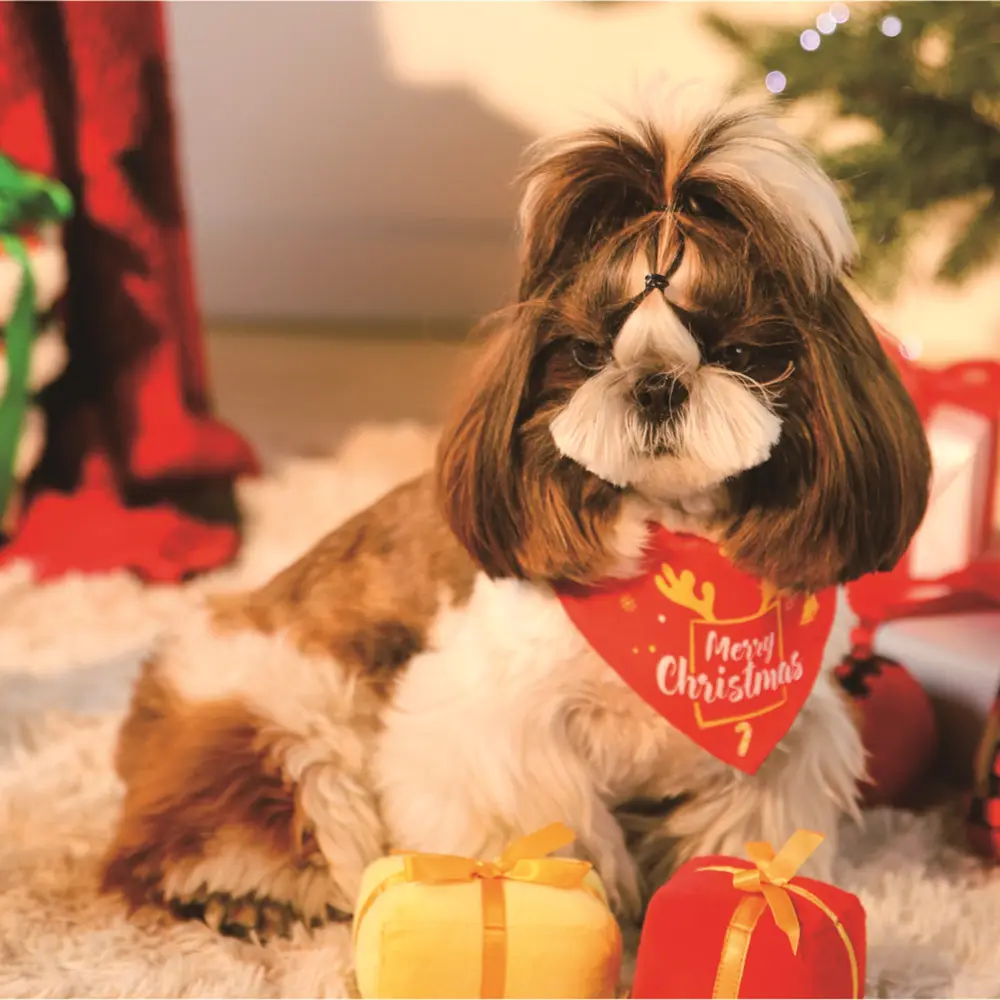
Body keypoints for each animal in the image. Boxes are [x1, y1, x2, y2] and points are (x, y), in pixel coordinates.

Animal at [101, 97, 928, 940]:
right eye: (587, 352)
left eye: (736, 351)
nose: (656, 382)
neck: (672, 545)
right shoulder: (492, 726)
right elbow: (532, 820)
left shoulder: (785, 740)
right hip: (284, 716)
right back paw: (244, 889)